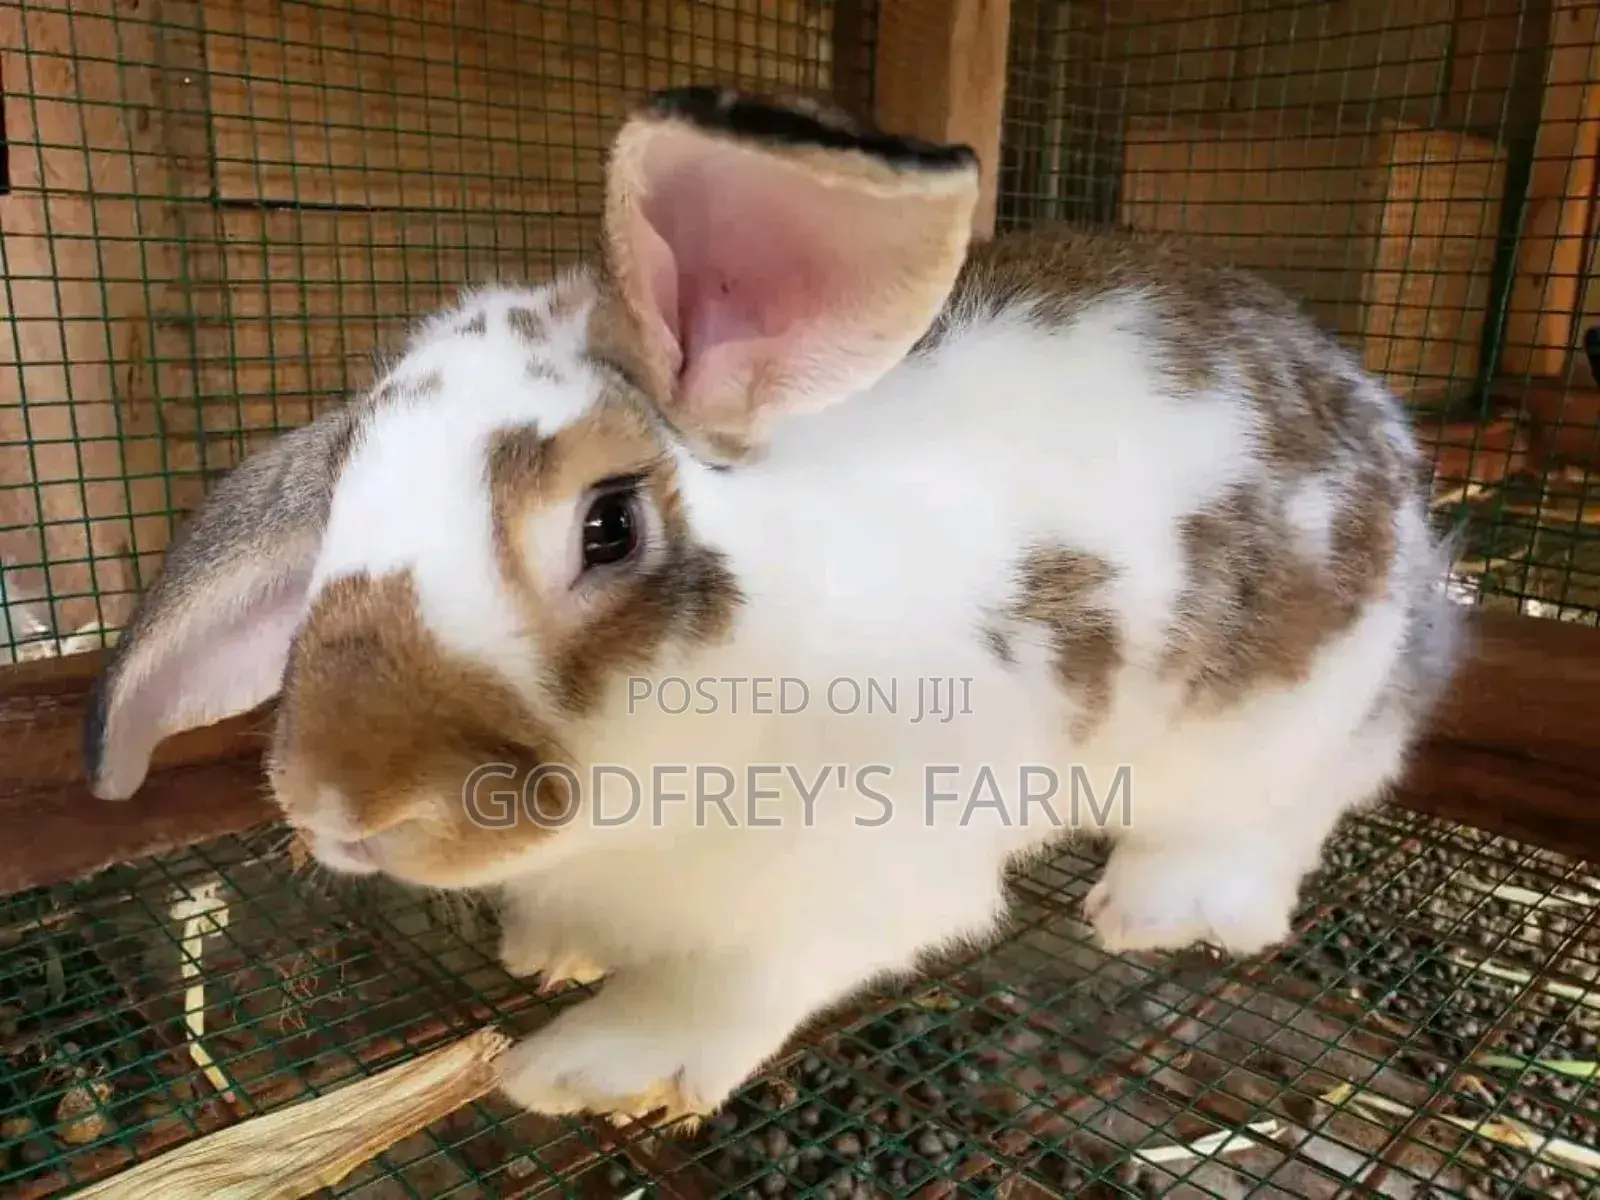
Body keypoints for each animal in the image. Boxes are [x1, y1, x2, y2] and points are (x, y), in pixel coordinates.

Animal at [83, 85, 1465, 1131]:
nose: (340, 805)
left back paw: (1159, 909)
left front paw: (590, 1066)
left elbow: (733, 986)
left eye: (608, 526)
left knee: (1283, 812)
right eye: (331, 530)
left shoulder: (856, 881)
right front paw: (549, 952)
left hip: (1284, 721)